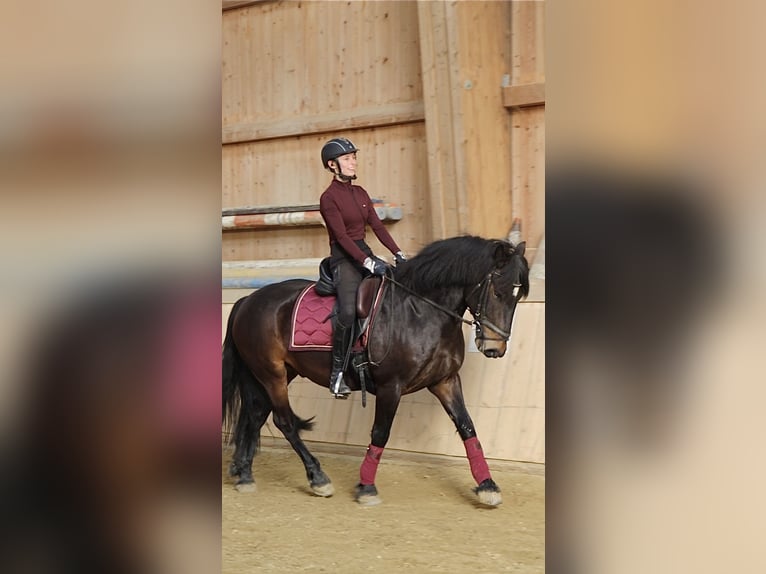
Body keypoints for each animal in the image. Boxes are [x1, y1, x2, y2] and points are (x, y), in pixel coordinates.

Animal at [224, 236, 528, 506]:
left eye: (517, 297)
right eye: (497, 291)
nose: (495, 348)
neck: (421, 311)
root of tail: (248, 300)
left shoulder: (445, 381)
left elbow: (467, 427)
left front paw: (487, 485)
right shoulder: (390, 387)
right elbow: (381, 432)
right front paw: (367, 487)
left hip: (277, 374)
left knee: (255, 415)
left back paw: (245, 474)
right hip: (272, 374)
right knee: (284, 421)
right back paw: (317, 478)